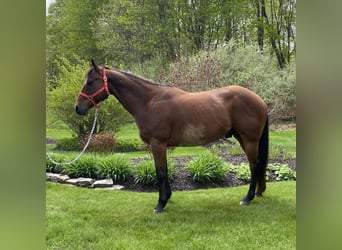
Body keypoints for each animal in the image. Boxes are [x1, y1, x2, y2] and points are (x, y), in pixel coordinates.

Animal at [76, 59, 268, 213]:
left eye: (91, 82)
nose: (78, 108)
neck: (149, 101)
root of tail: (259, 99)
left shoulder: (157, 144)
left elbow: (160, 172)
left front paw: (160, 204)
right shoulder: (161, 146)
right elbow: (165, 170)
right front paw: (167, 197)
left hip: (249, 140)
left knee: (254, 165)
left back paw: (247, 198)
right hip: (243, 139)